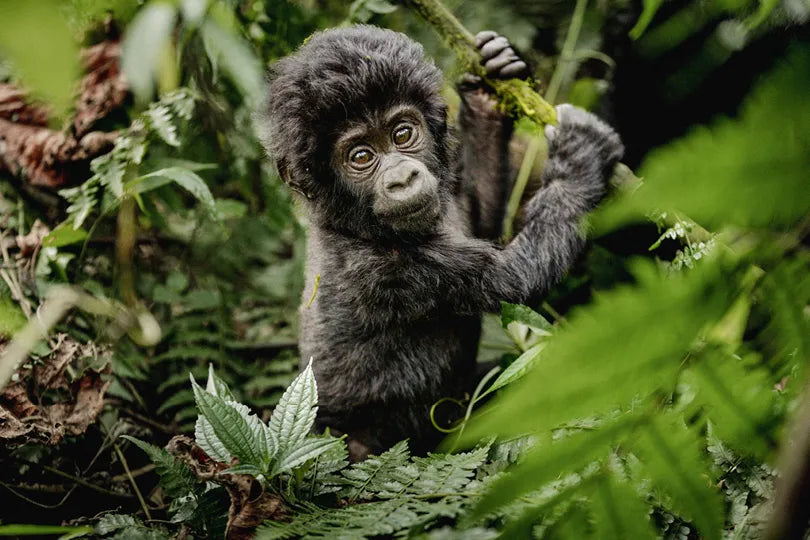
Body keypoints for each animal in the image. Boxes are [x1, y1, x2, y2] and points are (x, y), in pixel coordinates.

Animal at [259, 25, 623, 456]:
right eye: (360, 156)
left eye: (403, 133)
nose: (402, 179)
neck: (351, 225)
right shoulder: (385, 269)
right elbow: (514, 280)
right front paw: (579, 157)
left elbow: (481, 215)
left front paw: (488, 89)